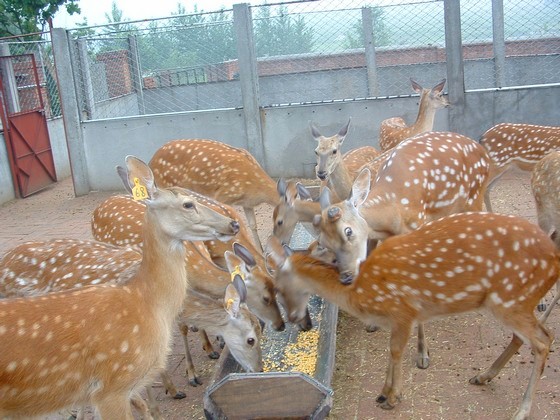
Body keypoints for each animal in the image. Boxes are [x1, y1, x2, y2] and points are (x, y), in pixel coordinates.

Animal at [266, 213, 560, 420]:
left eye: (277, 289)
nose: (295, 320)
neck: (361, 294)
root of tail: (555, 259)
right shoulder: (398, 319)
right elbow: (392, 351)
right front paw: (384, 394)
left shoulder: (404, 311)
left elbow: (396, 350)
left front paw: (391, 397)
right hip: (512, 302)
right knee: (526, 338)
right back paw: (483, 376)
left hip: (512, 298)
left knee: (544, 340)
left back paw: (521, 411)